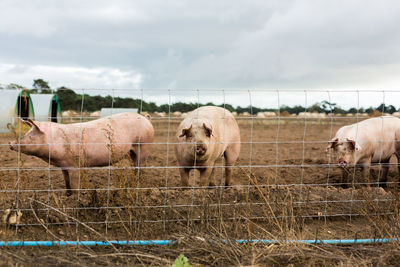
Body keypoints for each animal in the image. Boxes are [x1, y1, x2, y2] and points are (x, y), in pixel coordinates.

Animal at [8, 112, 155, 196]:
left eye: (31, 135)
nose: (10, 143)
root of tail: (146, 118)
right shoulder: (64, 165)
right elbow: (66, 180)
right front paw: (67, 194)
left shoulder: (74, 165)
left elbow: (74, 182)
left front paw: (75, 196)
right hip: (132, 151)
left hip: (144, 146)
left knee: (140, 167)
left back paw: (136, 186)